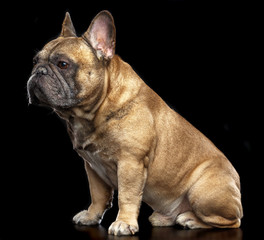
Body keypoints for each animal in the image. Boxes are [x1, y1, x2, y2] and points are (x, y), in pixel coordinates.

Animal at [27, 10, 243, 235]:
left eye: (63, 64)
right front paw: (91, 216)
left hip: (202, 191)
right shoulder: (92, 166)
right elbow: (98, 195)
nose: (38, 71)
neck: (94, 111)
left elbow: (127, 195)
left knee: (231, 221)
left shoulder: (130, 163)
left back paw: (190, 219)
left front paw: (124, 223)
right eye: (34, 61)